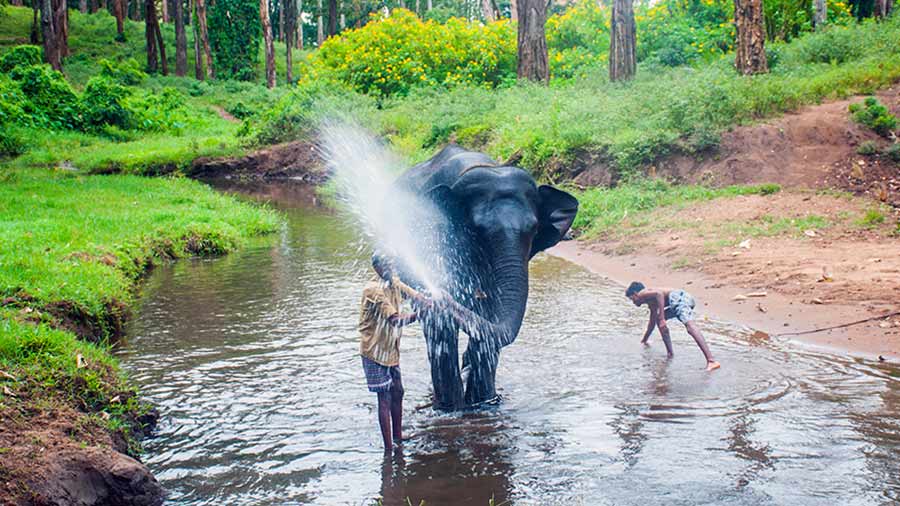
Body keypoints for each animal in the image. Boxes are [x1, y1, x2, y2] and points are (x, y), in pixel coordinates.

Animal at [384, 143, 580, 412]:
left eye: (533, 229)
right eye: (477, 229)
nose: (440, 295)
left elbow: (491, 316)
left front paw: (485, 403)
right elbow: (442, 322)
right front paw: (452, 409)